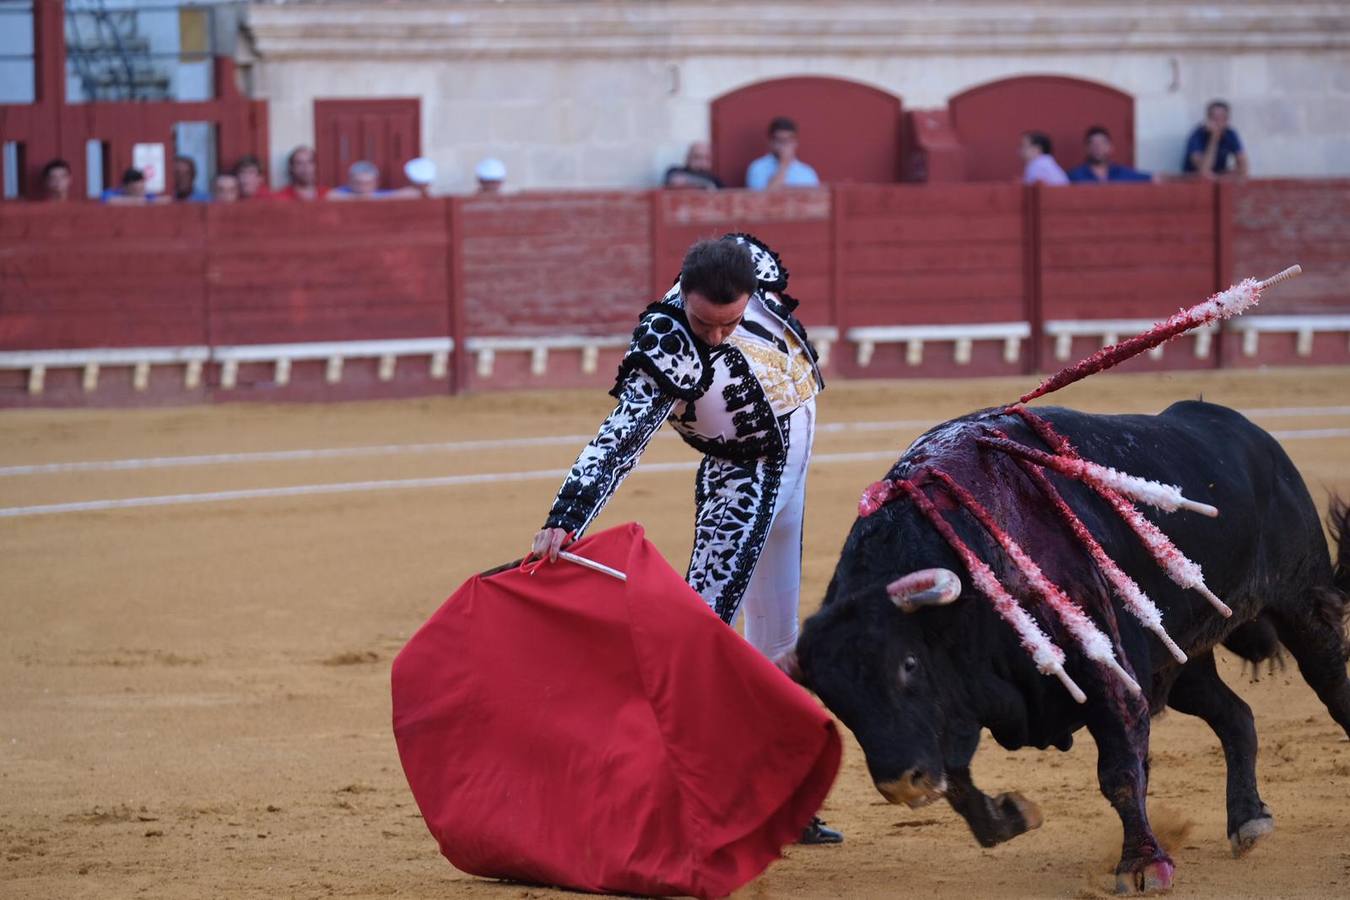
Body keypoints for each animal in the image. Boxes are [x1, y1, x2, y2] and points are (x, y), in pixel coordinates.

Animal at [793, 402, 1344, 895]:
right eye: (835, 702)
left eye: (907, 664)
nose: (900, 784)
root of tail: (1256, 437)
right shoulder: (957, 706)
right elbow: (960, 783)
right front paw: (1013, 815)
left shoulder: (1106, 671)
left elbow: (1119, 771)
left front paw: (1143, 866)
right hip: (1181, 662)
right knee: (1236, 715)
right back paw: (1248, 820)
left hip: (1302, 600)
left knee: (1330, 684)